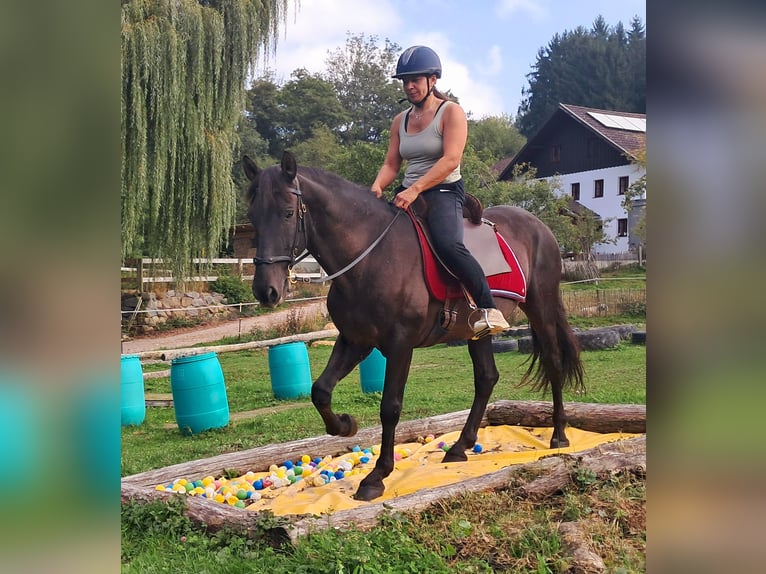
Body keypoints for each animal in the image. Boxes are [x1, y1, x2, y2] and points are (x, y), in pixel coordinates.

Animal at [243, 151, 584, 502]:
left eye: (287, 213)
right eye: (252, 216)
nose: (266, 291)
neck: (372, 257)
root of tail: (538, 225)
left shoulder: (400, 344)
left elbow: (390, 407)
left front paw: (376, 476)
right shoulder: (355, 340)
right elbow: (320, 391)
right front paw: (345, 425)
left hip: (541, 306)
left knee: (553, 361)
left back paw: (559, 434)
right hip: (477, 331)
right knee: (487, 378)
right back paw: (459, 447)